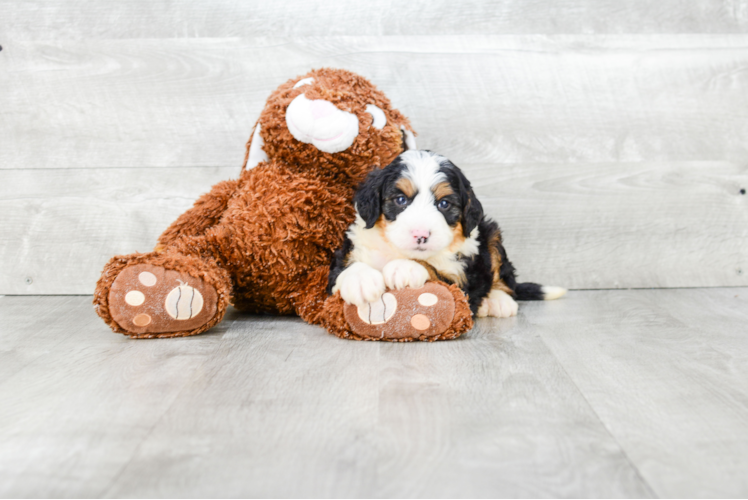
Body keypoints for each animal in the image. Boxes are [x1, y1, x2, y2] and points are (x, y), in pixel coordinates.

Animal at [328, 150, 568, 318]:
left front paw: (404, 267)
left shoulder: (462, 282)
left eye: (444, 204)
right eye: (400, 200)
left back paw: (498, 301)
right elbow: (345, 269)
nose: (421, 234)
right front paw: (360, 281)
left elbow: (434, 270)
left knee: (504, 278)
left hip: (491, 234)